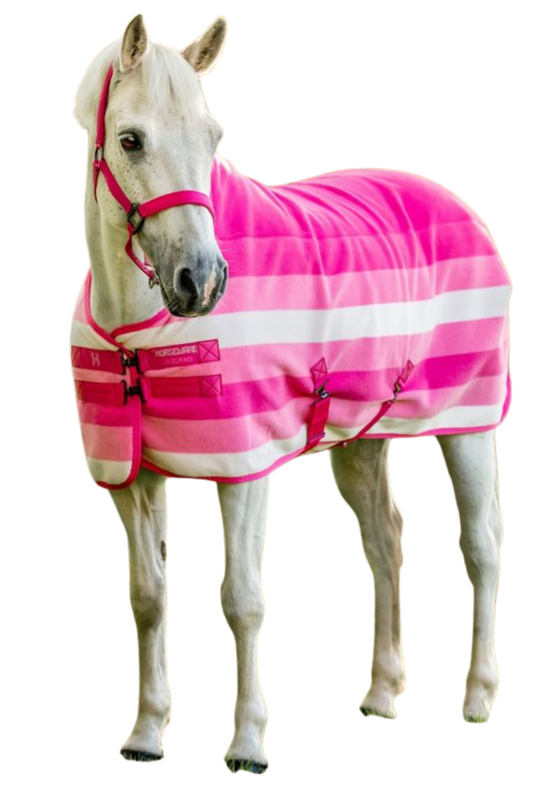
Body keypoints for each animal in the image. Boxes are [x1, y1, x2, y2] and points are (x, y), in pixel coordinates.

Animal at [68, 12, 514, 773]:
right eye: (130, 140)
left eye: (214, 138)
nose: (202, 281)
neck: (140, 331)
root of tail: (450, 198)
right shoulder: (131, 478)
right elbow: (147, 598)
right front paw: (145, 734)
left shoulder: (242, 469)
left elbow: (242, 601)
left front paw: (247, 744)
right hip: (360, 438)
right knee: (384, 539)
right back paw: (380, 694)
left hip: (469, 423)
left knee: (482, 544)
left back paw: (478, 698)